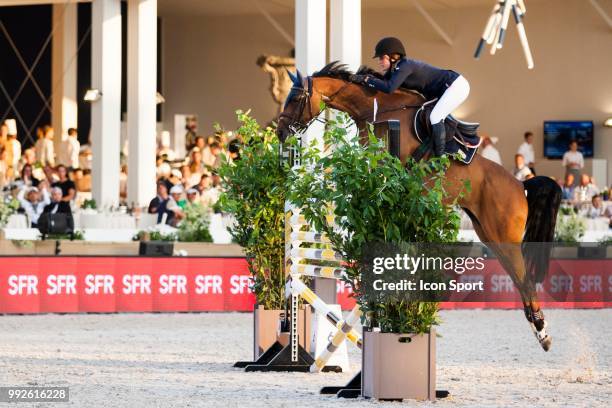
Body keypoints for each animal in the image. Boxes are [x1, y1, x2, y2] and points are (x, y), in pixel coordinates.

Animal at [274, 61, 560, 350]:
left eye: (295, 98)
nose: (280, 132)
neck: (375, 109)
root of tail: (521, 185)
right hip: (490, 235)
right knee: (518, 278)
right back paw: (539, 330)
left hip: (504, 234)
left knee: (524, 278)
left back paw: (543, 332)